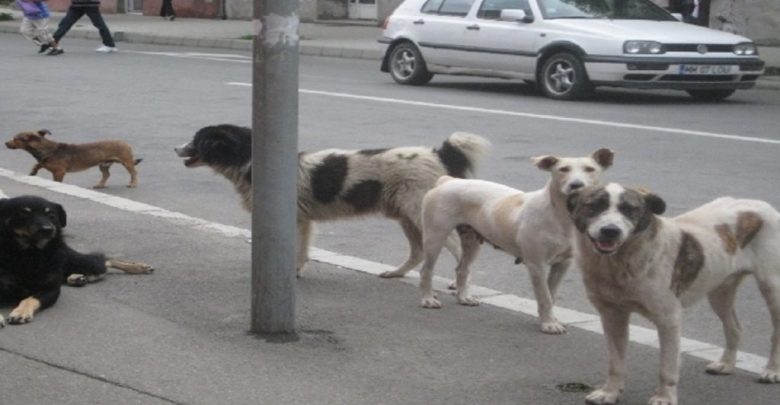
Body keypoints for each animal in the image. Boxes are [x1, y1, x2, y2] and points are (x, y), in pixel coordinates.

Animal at [0, 195, 154, 327]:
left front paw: (21, 312)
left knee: (105, 261)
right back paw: (77, 278)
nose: (48, 229)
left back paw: (138, 267)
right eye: (24, 213)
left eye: (51, 215)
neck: (30, 253)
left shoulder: (51, 289)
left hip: (79, 261)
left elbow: (31, 299)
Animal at [5, 129, 142, 188]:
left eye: (16, 139)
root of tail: (125, 143)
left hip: (126, 162)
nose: (5, 143)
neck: (47, 149)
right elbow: (39, 164)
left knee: (134, 172)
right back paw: (100, 185)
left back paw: (133, 183)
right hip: (103, 164)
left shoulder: (59, 172)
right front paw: (33, 171)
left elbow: (57, 180)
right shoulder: (45, 163)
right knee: (106, 175)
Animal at [175, 124, 491, 276]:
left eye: (197, 140)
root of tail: (437, 153)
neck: (250, 160)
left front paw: (294, 272)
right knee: (418, 253)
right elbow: (302, 250)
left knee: (454, 246)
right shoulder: (302, 220)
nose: (175, 148)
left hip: (418, 215)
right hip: (405, 217)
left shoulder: (296, 220)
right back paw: (396, 273)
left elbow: (298, 250)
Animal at [416, 148, 614, 334]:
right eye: (563, 169)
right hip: (435, 236)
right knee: (426, 270)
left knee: (462, 269)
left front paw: (551, 319)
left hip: (472, 241)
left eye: (590, 169)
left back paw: (463, 297)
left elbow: (551, 294)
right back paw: (427, 299)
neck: (558, 215)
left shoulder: (563, 264)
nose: (576, 185)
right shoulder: (536, 264)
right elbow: (544, 296)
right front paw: (548, 324)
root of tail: (447, 180)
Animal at [567, 183, 780, 405]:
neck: (620, 263)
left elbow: (667, 368)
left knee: (776, 332)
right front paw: (610, 392)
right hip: (719, 291)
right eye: (594, 206)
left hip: (772, 287)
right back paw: (726, 364)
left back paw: (771, 370)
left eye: (629, 209)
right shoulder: (612, 316)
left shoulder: (668, 320)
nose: (610, 231)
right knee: (734, 328)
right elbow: (615, 363)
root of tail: (761, 204)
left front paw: (664, 397)